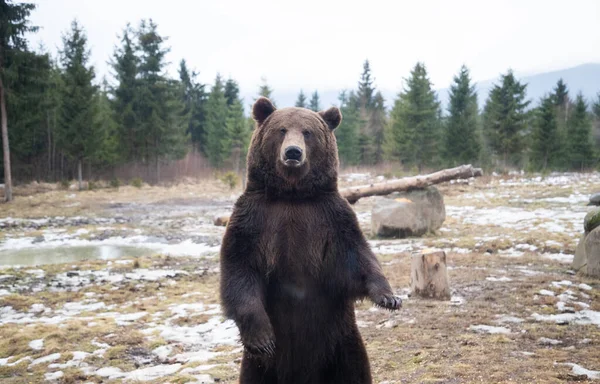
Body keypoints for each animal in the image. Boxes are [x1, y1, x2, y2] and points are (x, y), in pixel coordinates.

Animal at [219, 98, 398, 384]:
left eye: (307, 132)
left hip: (342, 345)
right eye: (281, 130)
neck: (293, 195)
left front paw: (389, 298)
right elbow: (240, 269)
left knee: (354, 370)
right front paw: (263, 338)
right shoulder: (253, 219)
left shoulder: (332, 218)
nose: (293, 153)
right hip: (261, 368)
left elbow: (357, 259)